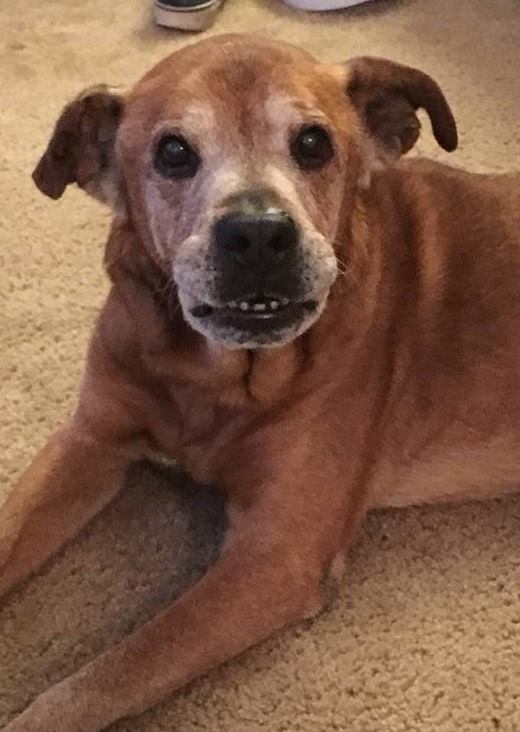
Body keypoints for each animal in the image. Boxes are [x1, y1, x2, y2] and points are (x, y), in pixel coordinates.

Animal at [1, 34, 520, 732]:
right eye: (172, 152)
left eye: (313, 143)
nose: (257, 233)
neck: (213, 379)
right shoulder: (90, 440)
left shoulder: (274, 556)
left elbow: (111, 674)